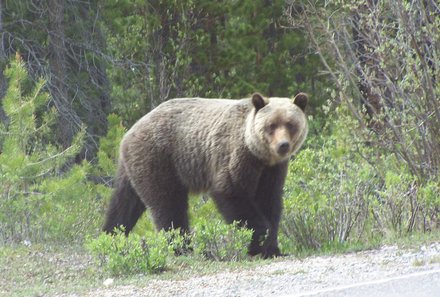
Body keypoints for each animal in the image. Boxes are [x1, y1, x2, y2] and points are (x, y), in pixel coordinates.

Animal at [103, 92, 310, 256]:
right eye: (271, 125)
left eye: (290, 124)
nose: (283, 145)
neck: (260, 155)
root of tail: (129, 131)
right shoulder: (235, 155)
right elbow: (231, 192)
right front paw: (260, 242)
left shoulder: (272, 170)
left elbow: (269, 201)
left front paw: (273, 247)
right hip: (159, 158)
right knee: (168, 204)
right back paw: (183, 248)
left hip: (133, 167)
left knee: (124, 204)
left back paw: (110, 238)